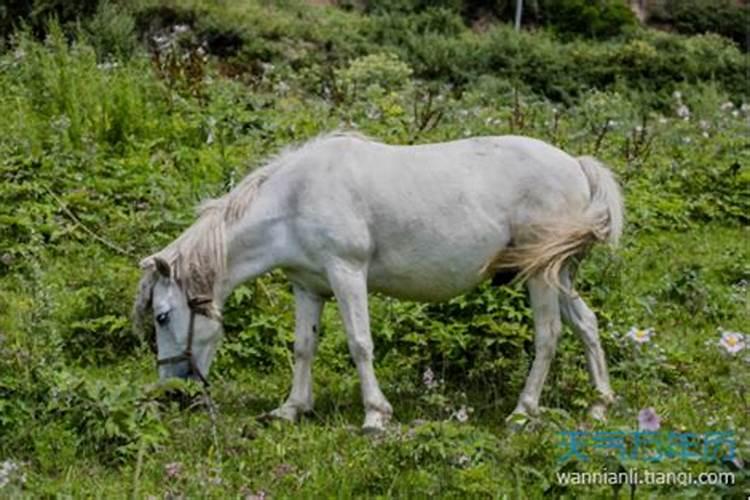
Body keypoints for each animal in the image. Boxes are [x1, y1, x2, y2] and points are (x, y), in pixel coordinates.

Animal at [132, 131, 624, 432]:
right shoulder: (307, 287)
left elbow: (360, 344)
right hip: (559, 273)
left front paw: (375, 416)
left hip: (539, 276)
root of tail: (577, 165)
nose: (171, 389)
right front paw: (292, 408)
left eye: (162, 316)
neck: (294, 199)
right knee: (587, 324)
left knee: (548, 335)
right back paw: (600, 403)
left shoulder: (347, 273)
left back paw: (523, 411)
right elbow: (303, 347)